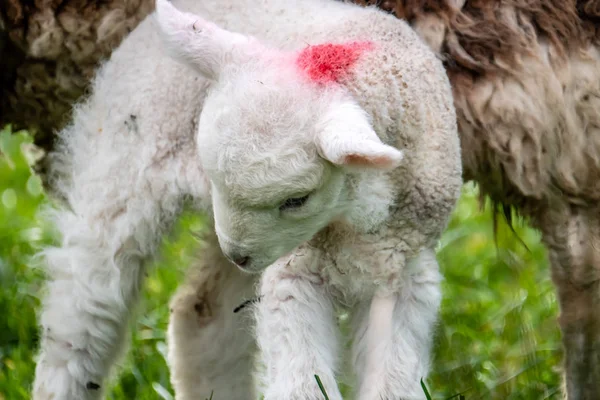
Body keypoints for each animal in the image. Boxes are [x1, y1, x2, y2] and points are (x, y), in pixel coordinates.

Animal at [30, 0, 462, 400]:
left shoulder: (404, 274)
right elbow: (301, 382)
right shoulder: (296, 270)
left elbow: (394, 381)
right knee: (82, 311)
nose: (239, 255)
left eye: (297, 199)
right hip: (125, 168)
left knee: (200, 316)